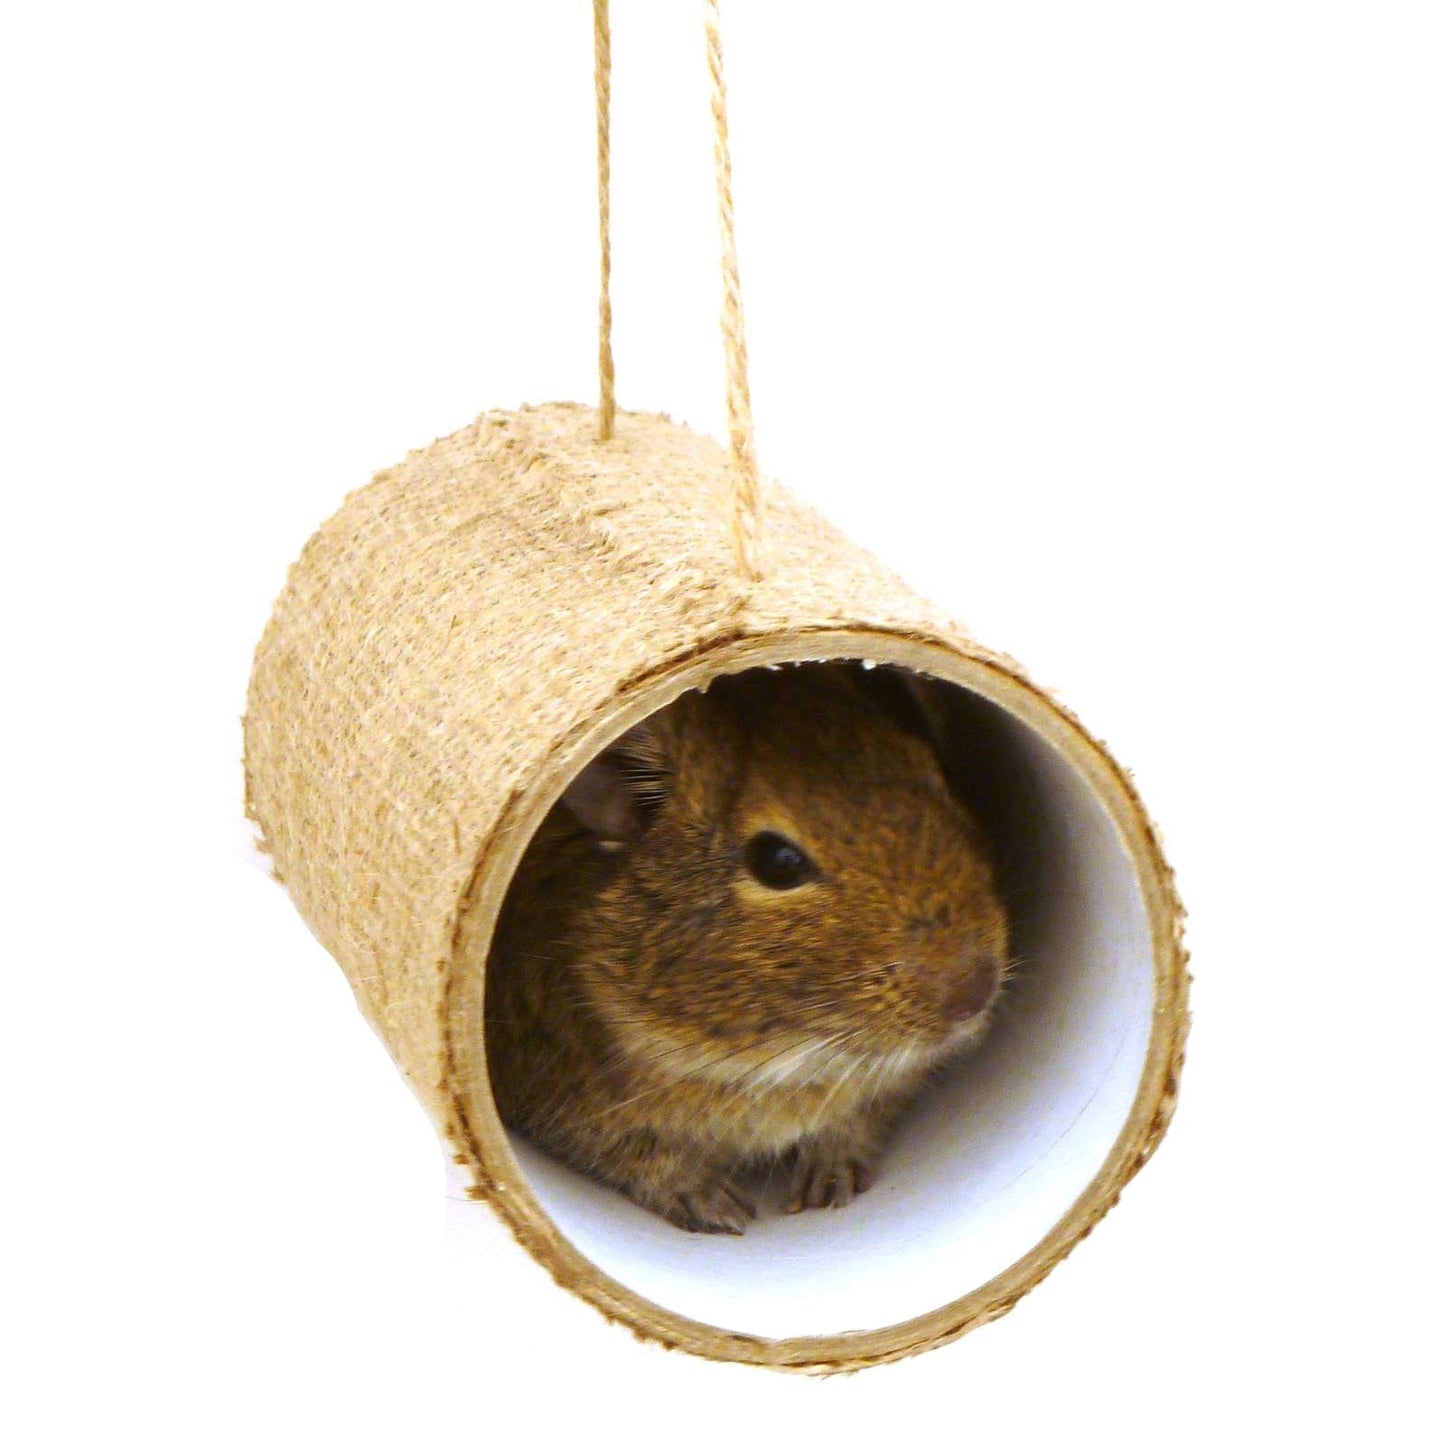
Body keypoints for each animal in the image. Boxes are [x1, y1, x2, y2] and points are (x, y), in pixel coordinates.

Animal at [483, 663, 1010, 1234]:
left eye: (936, 776)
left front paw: (830, 1179)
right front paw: (718, 1208)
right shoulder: (559, 1102)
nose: (975, 994)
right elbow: (639, 1156)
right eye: (777, 861)